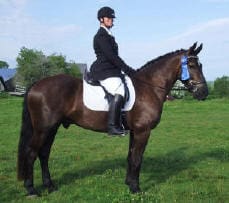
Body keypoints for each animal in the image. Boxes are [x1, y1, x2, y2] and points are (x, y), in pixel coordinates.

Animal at [17, 42, 208, 196]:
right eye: (191, 65)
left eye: (199, 64)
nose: (204, 93)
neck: (149, 87)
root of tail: (36, 84)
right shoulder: (143, 131)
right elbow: (137, 159)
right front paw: (136, 189)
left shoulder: (135, 131)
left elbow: (131, 156)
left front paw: (129, 183)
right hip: (43, 129)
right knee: (31, 153)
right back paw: (31, 190)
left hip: (52, 128)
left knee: (44, 154)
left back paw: (50, 186)